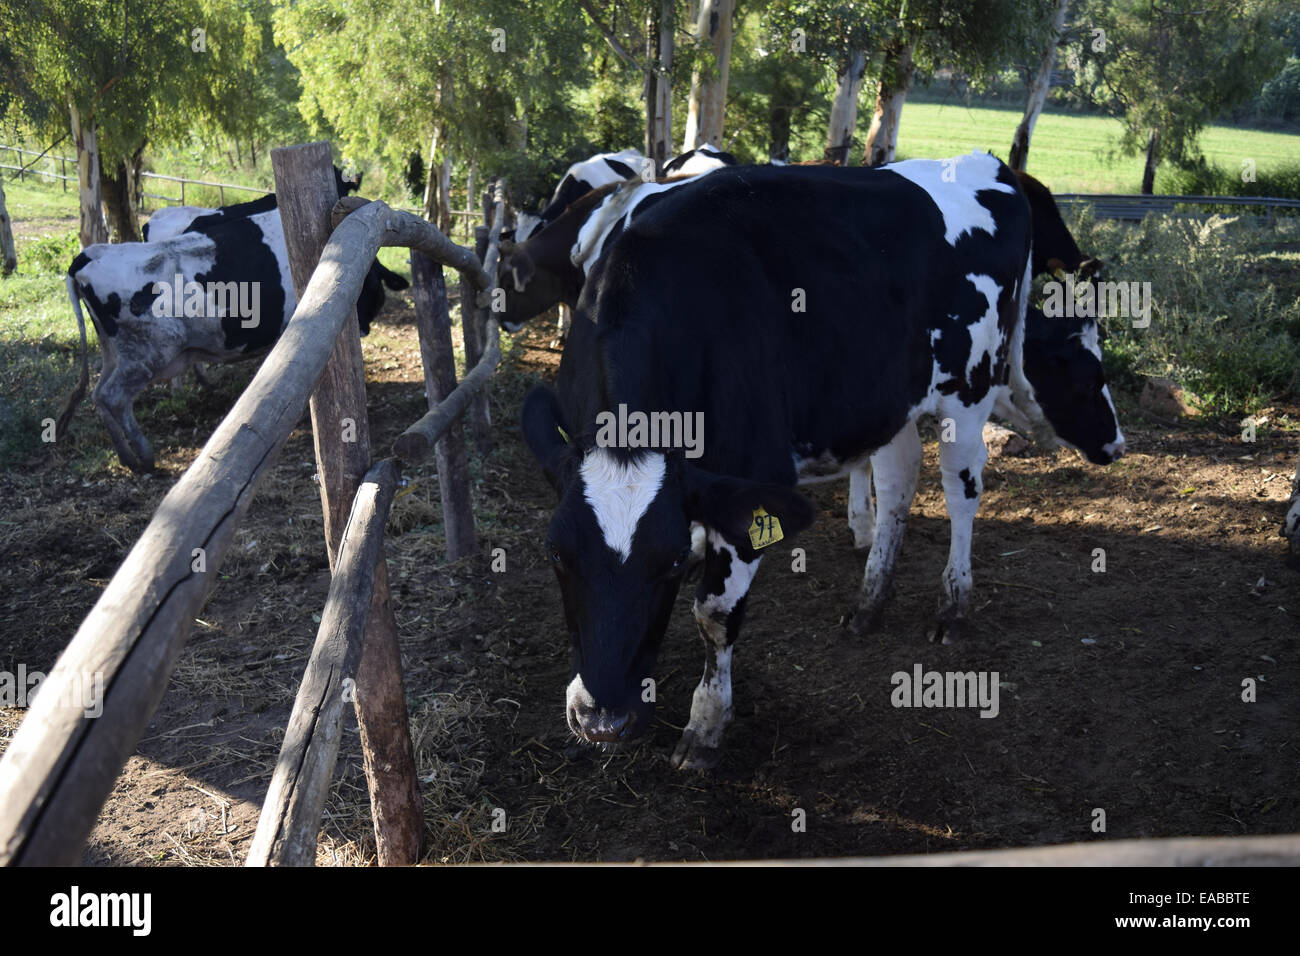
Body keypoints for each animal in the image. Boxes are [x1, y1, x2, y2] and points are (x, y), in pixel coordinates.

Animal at [522, 155, 1123, 770]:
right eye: (555, 553)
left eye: (667, 562)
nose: (603, 720)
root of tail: (990, 162)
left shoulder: (756, 476)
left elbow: (714, 614)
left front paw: (705, 726)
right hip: (893, 395)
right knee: (899, 478)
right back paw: (870, 601)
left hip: (969, 386)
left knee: (961, 491)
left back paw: (953, 606)